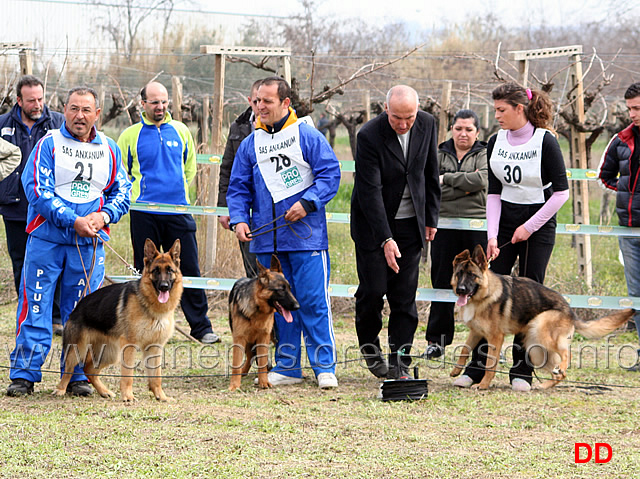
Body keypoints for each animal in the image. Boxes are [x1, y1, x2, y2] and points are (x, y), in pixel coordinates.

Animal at [52, 239, 184, 402]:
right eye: (156, 271)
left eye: (170, 270)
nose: (164, 287)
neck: (150, 305)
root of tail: (78, 306)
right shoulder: (129, 345)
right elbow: (128, 375)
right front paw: (128, 396)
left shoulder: (155, 347)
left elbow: (156, 377)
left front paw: (161, 396)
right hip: (78, 350)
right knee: (68, 370)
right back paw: (60, 390)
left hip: (109, 354)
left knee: (88, 369)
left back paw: (104, 391)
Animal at [230, 256, 300, 392]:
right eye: (281, 290)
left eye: (290, 288)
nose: (297, 306)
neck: (257, 310)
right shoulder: (239, 338)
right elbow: (236, 363)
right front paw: (234, 385)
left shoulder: (263, 337)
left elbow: (262, 361)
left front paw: (264, 382)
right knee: (250, 355)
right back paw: (243, 371)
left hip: (271, 336)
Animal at [448, 246, 632, 392]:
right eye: (459, 274)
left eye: (472, 275)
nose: (461, 289)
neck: (484, 295)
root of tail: (570, 311)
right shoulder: (476, 332)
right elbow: (464, 350)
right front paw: (456, 371)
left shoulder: (495, 338)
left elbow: (489, 364)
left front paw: (484, 385)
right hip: (536, 350)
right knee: (559, 374)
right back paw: (544, 384)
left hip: (541, 332)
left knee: (567, 353)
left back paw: (557, 370)